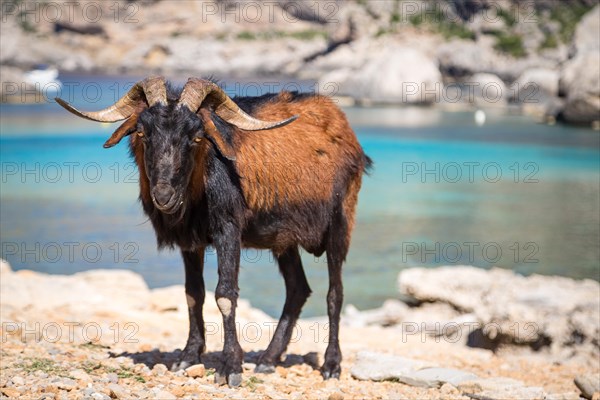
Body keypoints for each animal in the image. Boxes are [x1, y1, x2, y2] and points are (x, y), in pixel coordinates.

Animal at [58, 76, 372, 386]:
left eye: (197, 137)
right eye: (143, 133)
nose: (164, 195)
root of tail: (342, 125)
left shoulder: (228, 230)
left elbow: (225, 295)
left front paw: (230, 367)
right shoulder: (189, 241)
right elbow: (193, 294)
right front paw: (188, 356)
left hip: (340, 221)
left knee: (334, 293)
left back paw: (331, 365)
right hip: (283, 238)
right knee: (297, 288)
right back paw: (268, 359)